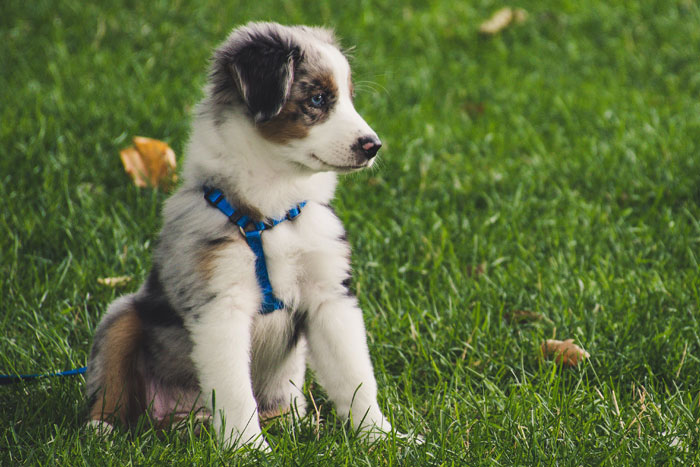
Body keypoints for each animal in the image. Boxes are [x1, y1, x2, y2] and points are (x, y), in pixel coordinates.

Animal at [86, 21, 400, 450]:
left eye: (350, 100)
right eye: (318, 98)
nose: (373, 146)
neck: (273, 210)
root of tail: (179, 418)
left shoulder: (330, 296)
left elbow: (355, 376)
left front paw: (384, 438)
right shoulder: (221, 304)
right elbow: (235, 390)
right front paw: (249, 449)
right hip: (122, 315)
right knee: (110, 382)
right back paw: (101, 429)